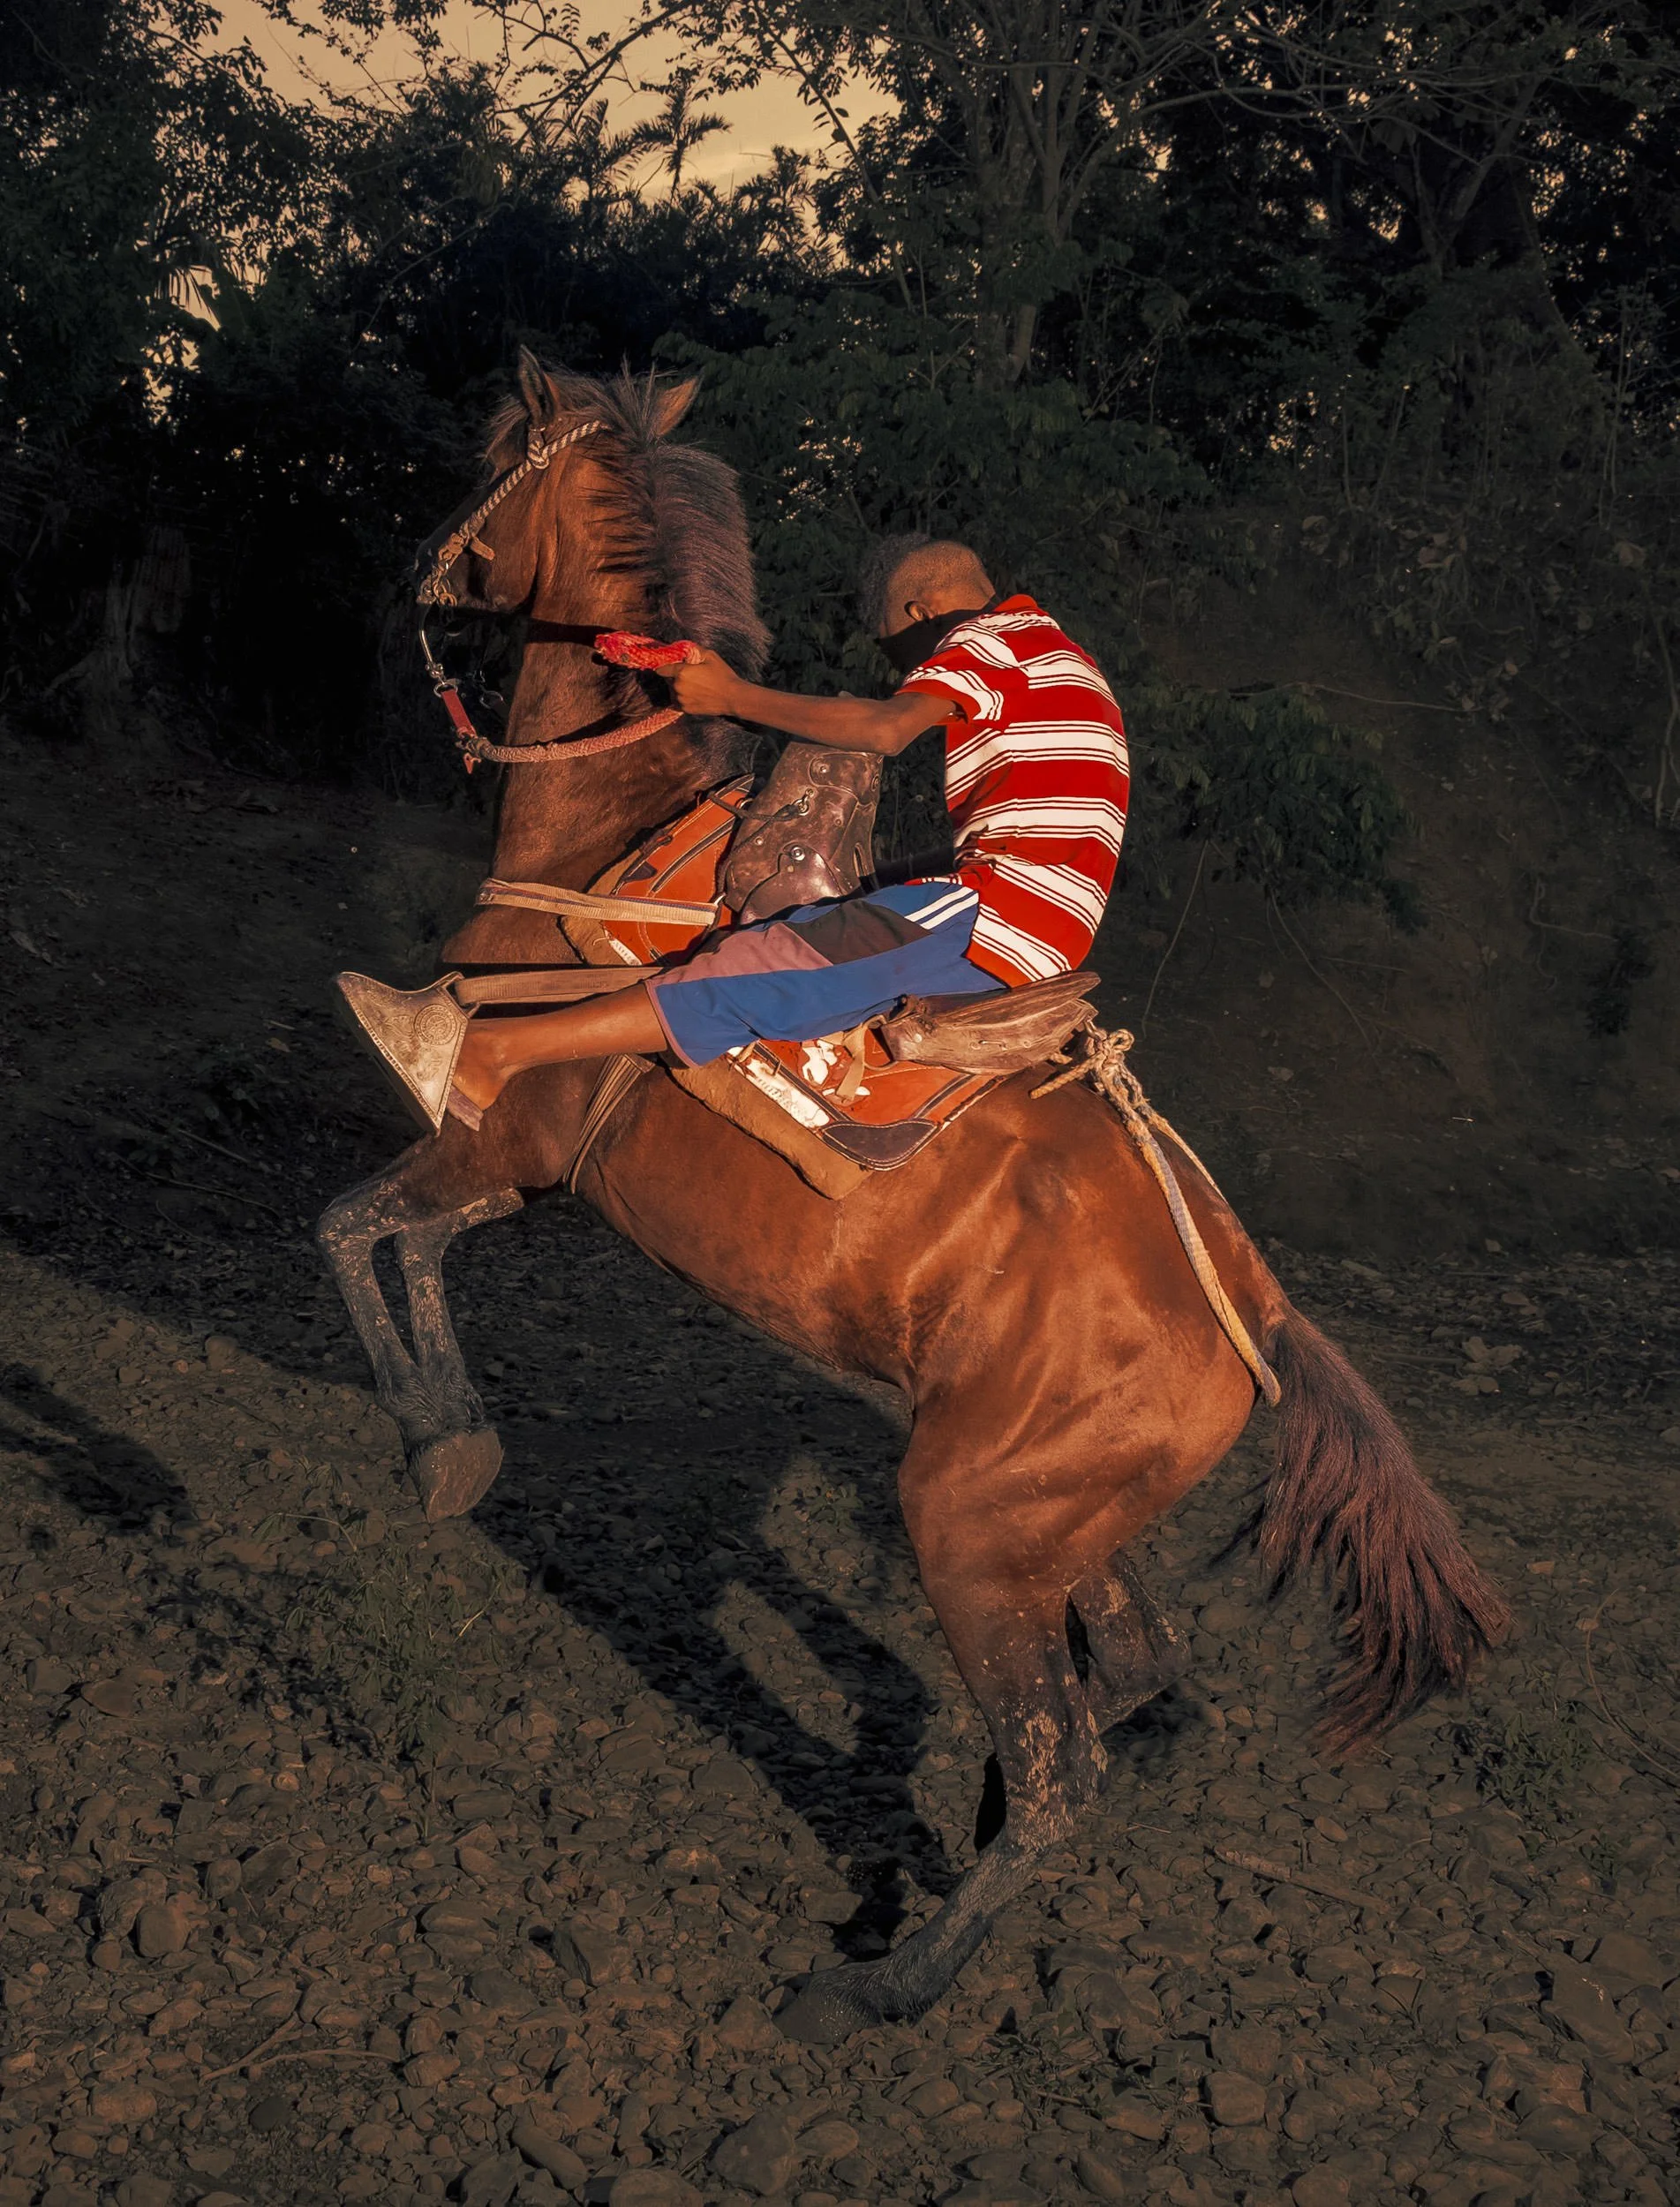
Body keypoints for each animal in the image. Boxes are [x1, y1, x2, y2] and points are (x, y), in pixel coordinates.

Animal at [317, 354, 1509, 2045]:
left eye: (498, 459)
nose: (424, 569)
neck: (609, 843)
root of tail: (1253, 1308)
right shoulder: (521, 1182)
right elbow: (402, 1244)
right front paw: (450, 1433)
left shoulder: (504, 1146)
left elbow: (355, 1225)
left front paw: (440, 1439)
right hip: (1048, 1522)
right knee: (1122, 1686)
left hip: (967, 1518)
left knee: (1069, 1765)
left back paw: (879, 1987)